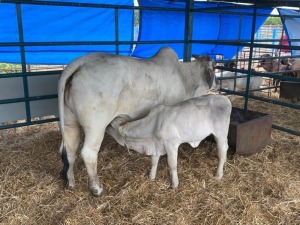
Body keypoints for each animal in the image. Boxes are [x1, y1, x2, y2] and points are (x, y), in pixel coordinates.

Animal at [58, 47, 218, 195]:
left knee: (70, 151)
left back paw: (71, 182)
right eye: (214, 66)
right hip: (96, 126)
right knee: (88, 153)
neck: (184, 76)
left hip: (70, 123)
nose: (216, 83)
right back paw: (97, 189)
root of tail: (83, 61)